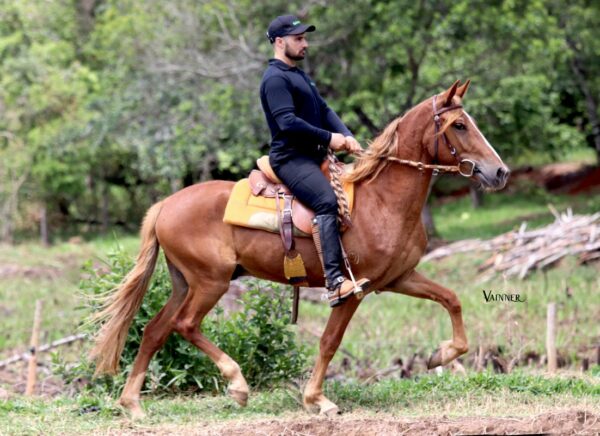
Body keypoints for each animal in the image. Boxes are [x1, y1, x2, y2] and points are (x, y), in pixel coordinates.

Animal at [91, 80, 508, 418]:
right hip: (210, 282)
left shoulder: (398, 278)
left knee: (154, 331)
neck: (381, 200)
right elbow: (329, 342)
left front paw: (441, 354)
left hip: (184, 283)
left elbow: (451, 299)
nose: (500, 172)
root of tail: (165, 205)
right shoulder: (353, 291)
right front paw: (316, 399)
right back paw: (237, 385)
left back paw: (132, 403)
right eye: (459, 125)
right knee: (185, 325)